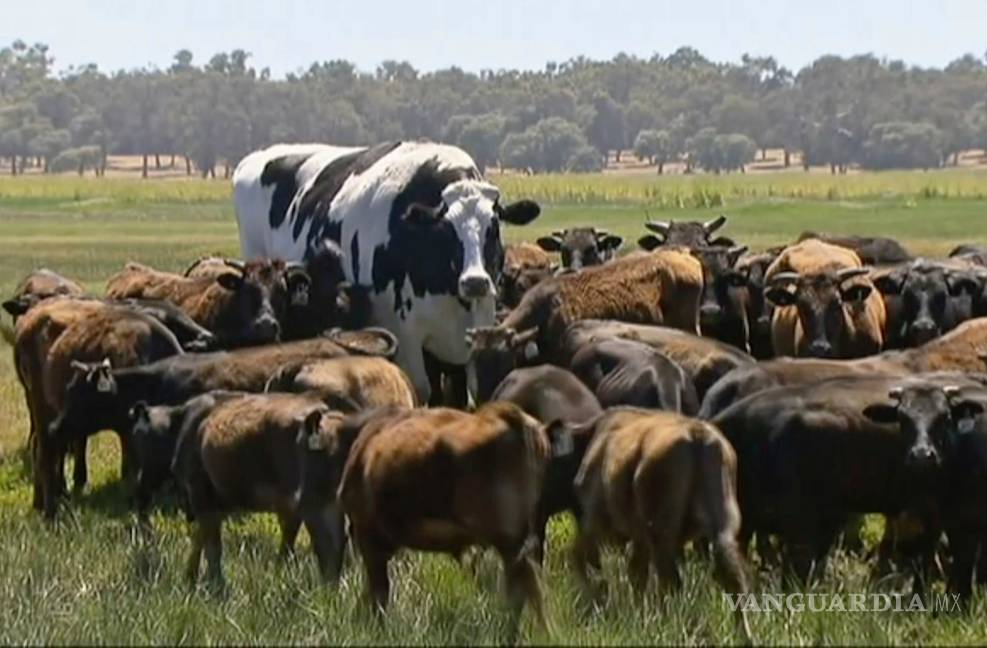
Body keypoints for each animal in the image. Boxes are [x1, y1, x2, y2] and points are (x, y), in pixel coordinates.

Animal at [232, 141, 542, 403]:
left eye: (494, 226)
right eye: (445, 228)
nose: (475, 281)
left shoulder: (475, 328)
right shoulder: (404, 335)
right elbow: (421, 389)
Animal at [331, 402, 552, 641]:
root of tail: (506, 415)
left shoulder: (369, 537)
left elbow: (379, 593)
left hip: (507, 539)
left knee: (522, 586)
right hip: (519, 538)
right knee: (528, 584)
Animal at [566, 407, 750, 638]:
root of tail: (698, 435)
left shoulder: (595, 522)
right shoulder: (639, 538)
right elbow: (637, 574)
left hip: (661, 534)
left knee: (670, 579)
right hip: (720, 529)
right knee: (733, 579)